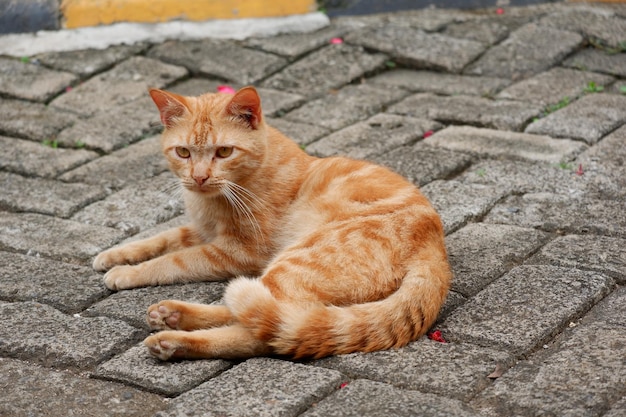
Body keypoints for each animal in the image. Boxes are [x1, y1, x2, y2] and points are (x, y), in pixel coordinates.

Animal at [92, 86, 450, 360]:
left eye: (224, 151)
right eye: (183, 152)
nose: (199, 177)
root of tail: (436, 255)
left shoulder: (236, 252)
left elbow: (172, 261)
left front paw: (127, 273)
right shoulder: (201, 230)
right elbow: (161, 239)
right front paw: (115, 255)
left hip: (290, 262)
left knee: (260, 325)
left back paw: (174, 338)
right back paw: (171, 318)